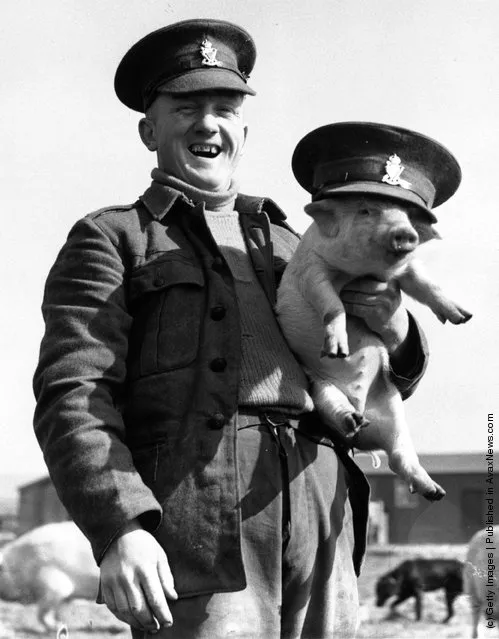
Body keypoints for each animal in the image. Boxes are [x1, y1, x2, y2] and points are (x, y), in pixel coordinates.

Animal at [278, 120, 472, 500]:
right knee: (337, 411)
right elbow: (330, 303)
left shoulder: (405, 271)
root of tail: (368, 435)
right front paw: (338, 348)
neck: (362, 271)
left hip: (393, 407)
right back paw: (351, 418)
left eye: (407, 215)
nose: (405, 233)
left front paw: (462, 316)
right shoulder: (312, 269)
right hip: (319, 386)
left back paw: (434, 490)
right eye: (366, 210)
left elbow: (426, 285)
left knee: (400, 457)